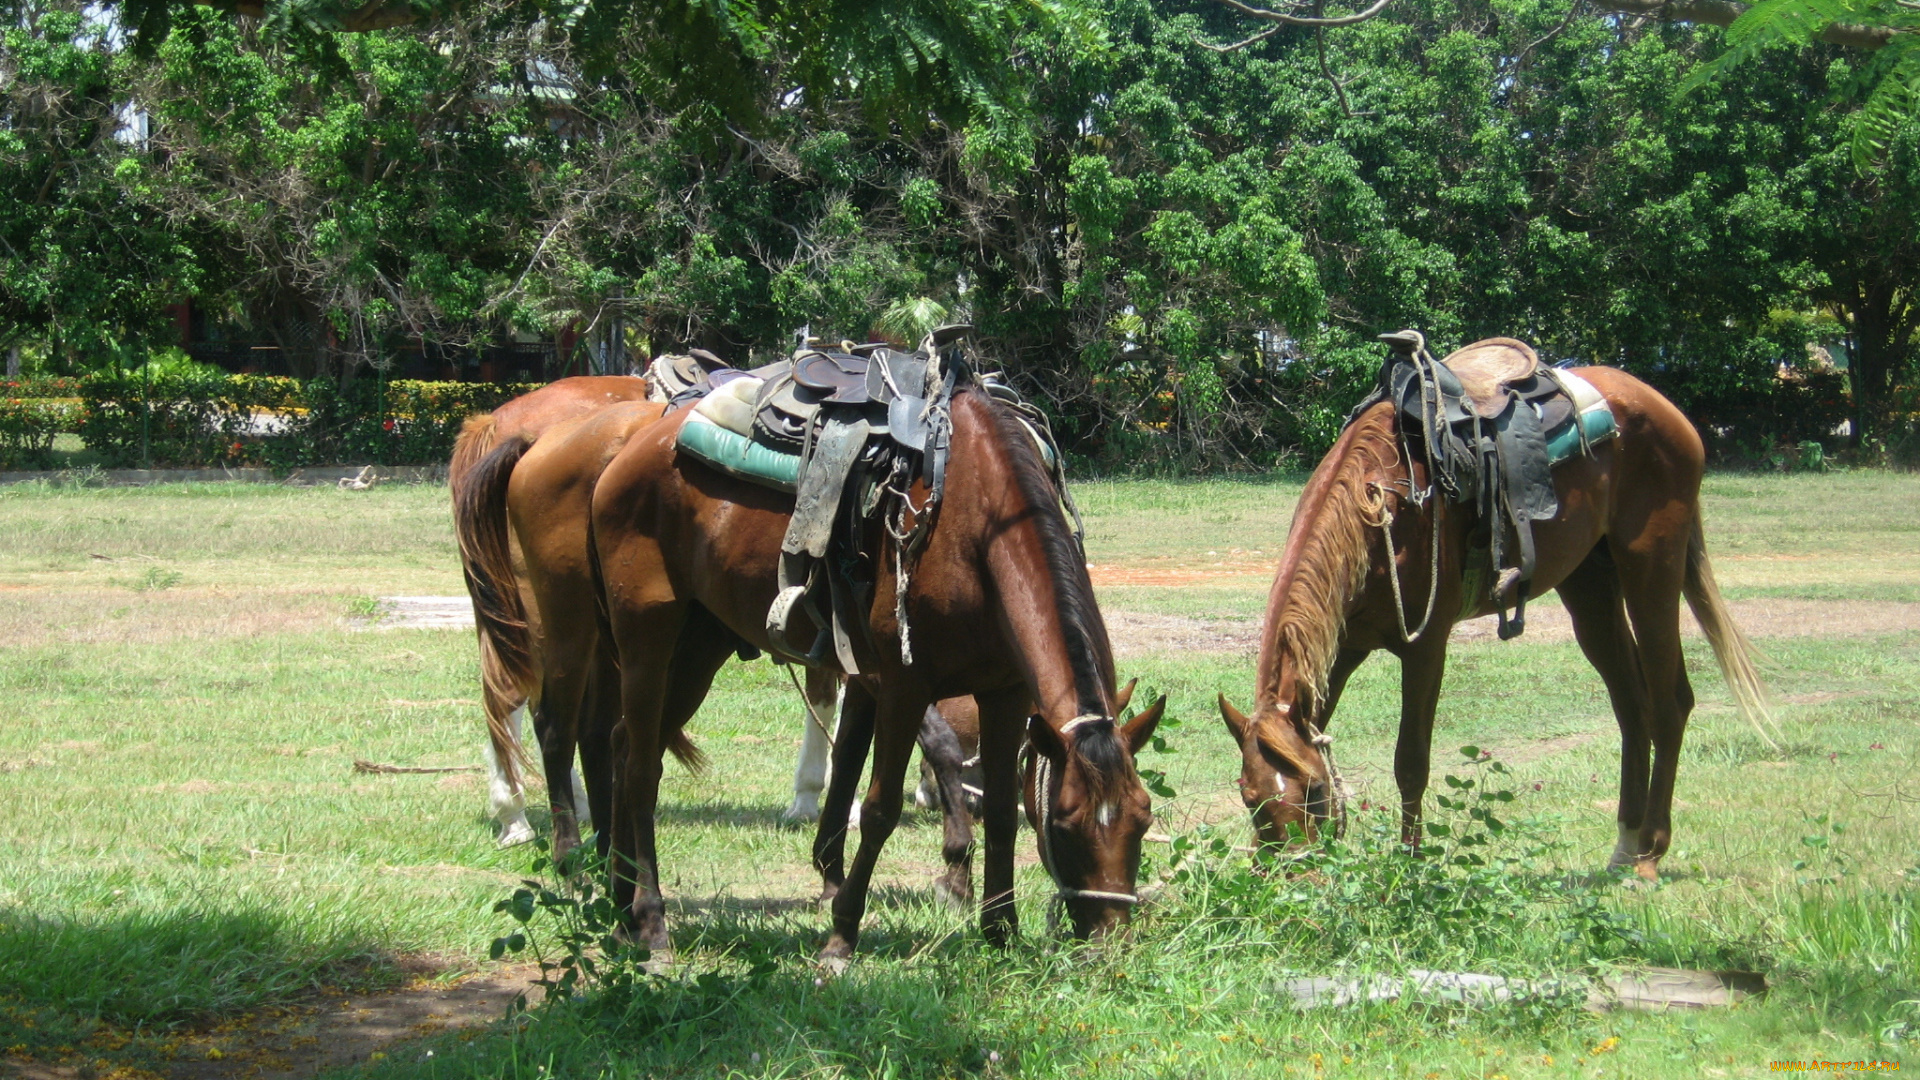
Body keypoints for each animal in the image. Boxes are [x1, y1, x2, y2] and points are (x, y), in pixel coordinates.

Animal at [591, 378, 1159, 957]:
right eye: (1065, 826)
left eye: (1142, 819)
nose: (1112, 940)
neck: (976, 529)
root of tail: (631, 452)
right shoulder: (904, 686)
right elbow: (880, 808)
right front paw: (841, 938)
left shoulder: (1006, 692)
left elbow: (1001, 811)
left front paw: (1000, 933)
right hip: (646, 637)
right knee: (641, 768)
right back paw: (652, 921)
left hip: (699, 647)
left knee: (623, 743)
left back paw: (622, 907)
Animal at [1213, 361, 1766, 876]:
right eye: (1249, 797)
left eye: (1312, 789)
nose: (1293, 872)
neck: (1383, 508)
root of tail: (1665, 408)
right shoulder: (1344, 645)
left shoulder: (1425, 647)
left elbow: (1410, 762)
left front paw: (1410, 867)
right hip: (1590, 585)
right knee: (1632, 707)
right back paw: (1625, 847)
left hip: (1651, 567)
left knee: (1671, 703)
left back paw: (1650, 854)